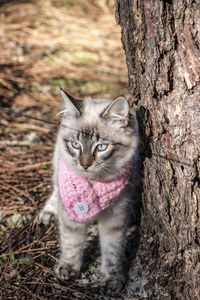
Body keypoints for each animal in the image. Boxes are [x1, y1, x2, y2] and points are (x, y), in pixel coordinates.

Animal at [39, 89, 139, 290]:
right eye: (76, 145)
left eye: (101, 147)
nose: (84, 165)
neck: (93, 182)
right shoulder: (72, 211)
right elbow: (72, 243)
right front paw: (68, 270)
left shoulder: (116, 217)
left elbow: (112, 252)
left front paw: (111, 280)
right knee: (55, 190)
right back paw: (48, 214)